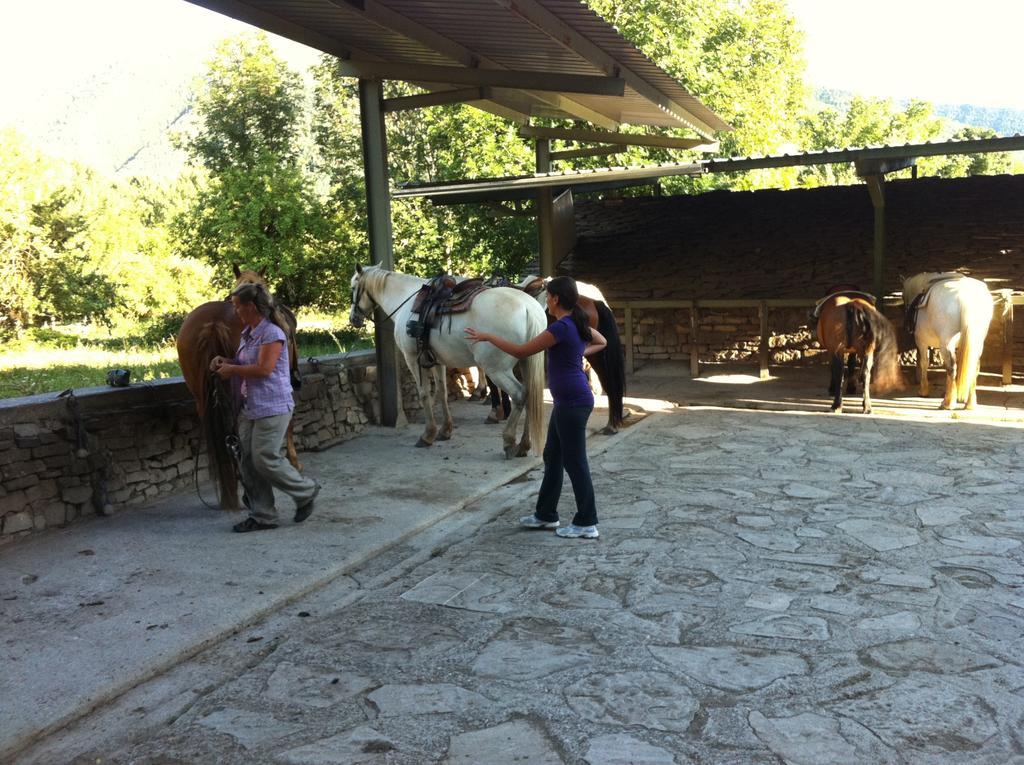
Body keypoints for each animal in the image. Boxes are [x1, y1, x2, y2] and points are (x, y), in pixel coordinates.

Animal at [348, 264, 548, 454]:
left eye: (353, 288)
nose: (353, 318)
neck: (405, 300)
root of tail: (528, 307)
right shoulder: (436, 360)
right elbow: (442, 392)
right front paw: (445, 430)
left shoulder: (412, 358)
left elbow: (424, 394)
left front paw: (428, 434)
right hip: (525, 362)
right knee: (530, 395)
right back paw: (524, 444)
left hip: (497, 369)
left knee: (519, 394)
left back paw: (509, 440)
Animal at [905, 272, 991, 409]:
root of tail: (965, 297)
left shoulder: (921, 342)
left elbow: (924, 363)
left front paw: (923, 391)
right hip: (975, 343)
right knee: (973, 367)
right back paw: (969, 403)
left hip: (946, 343)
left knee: (951, 368)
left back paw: (948, 403)